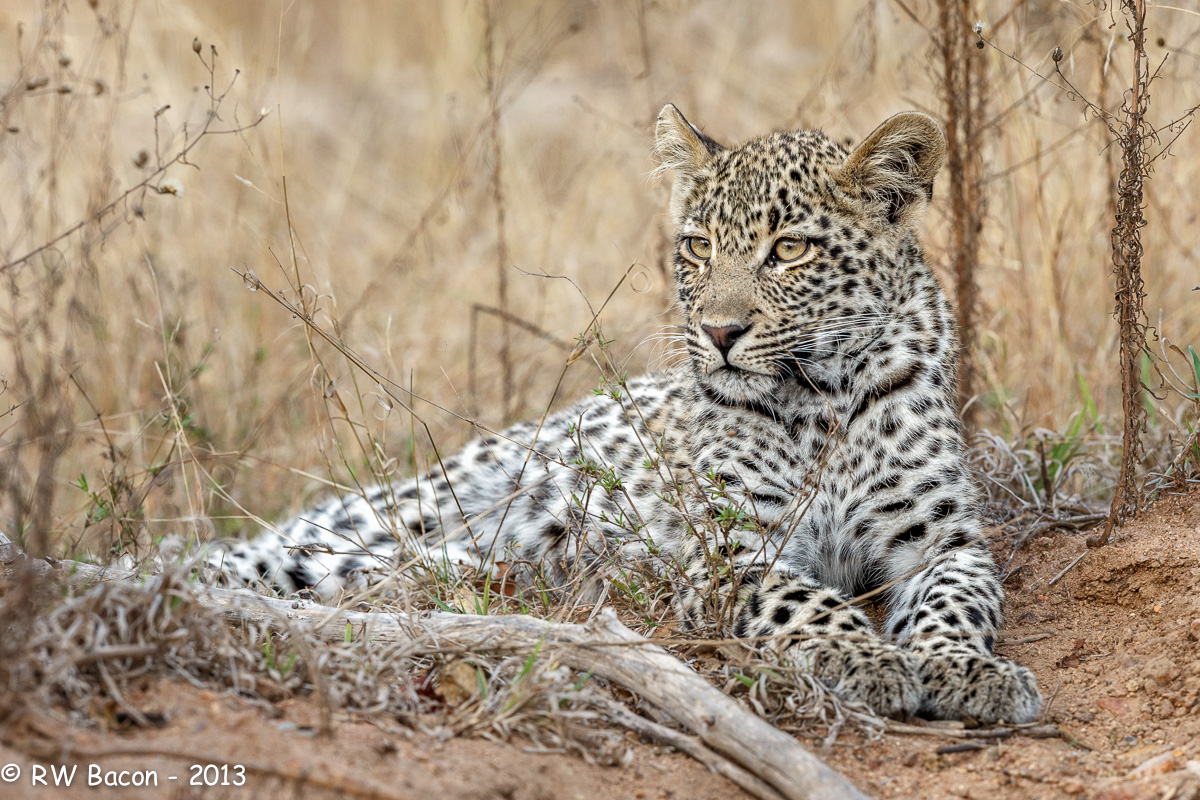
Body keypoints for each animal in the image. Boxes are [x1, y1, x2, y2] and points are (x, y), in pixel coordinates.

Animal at [205, 106, 1043, 724]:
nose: (719, 333)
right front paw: (866, 658)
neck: (824, 394)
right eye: (699, 246)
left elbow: (959, 601)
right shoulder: (731, 547)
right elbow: (806, 600)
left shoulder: (942, 541)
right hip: (414, 504)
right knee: (262, 547)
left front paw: (967, 670)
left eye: (789, 250)